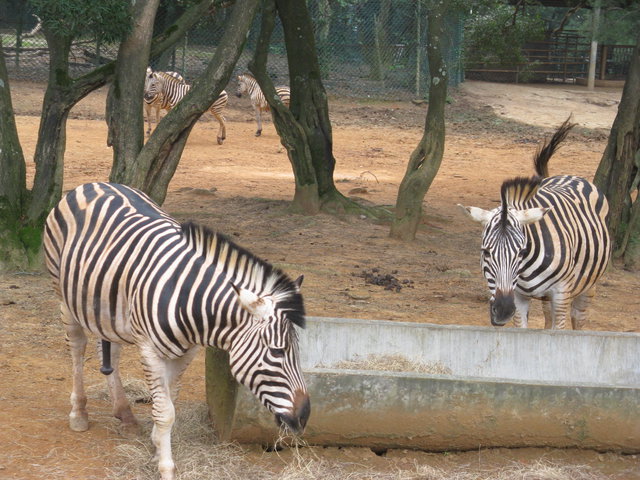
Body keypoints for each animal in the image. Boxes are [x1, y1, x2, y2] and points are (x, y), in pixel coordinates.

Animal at [42, 182, 310, 478]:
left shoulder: (186, 352)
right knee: (77, 348)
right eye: (277, 352)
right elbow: (165, 412)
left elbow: (170, 402)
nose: (305, 416)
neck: (190, 301)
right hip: (63, 295)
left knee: (109, 349)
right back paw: (79, 413)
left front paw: (157, 447)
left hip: (107, 304)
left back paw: (125, 415)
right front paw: (166, 466)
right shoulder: (150, 350)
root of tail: (93, 184)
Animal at [460, 119, 608, 330]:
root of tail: (568, 176)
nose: (502, 310)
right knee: (547, 316)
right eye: (486, 252)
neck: (525, 269)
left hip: (588, 284)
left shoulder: (561, 293)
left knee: (578, 318)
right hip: (546, 297)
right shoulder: (519, 297)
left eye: (521, 252)